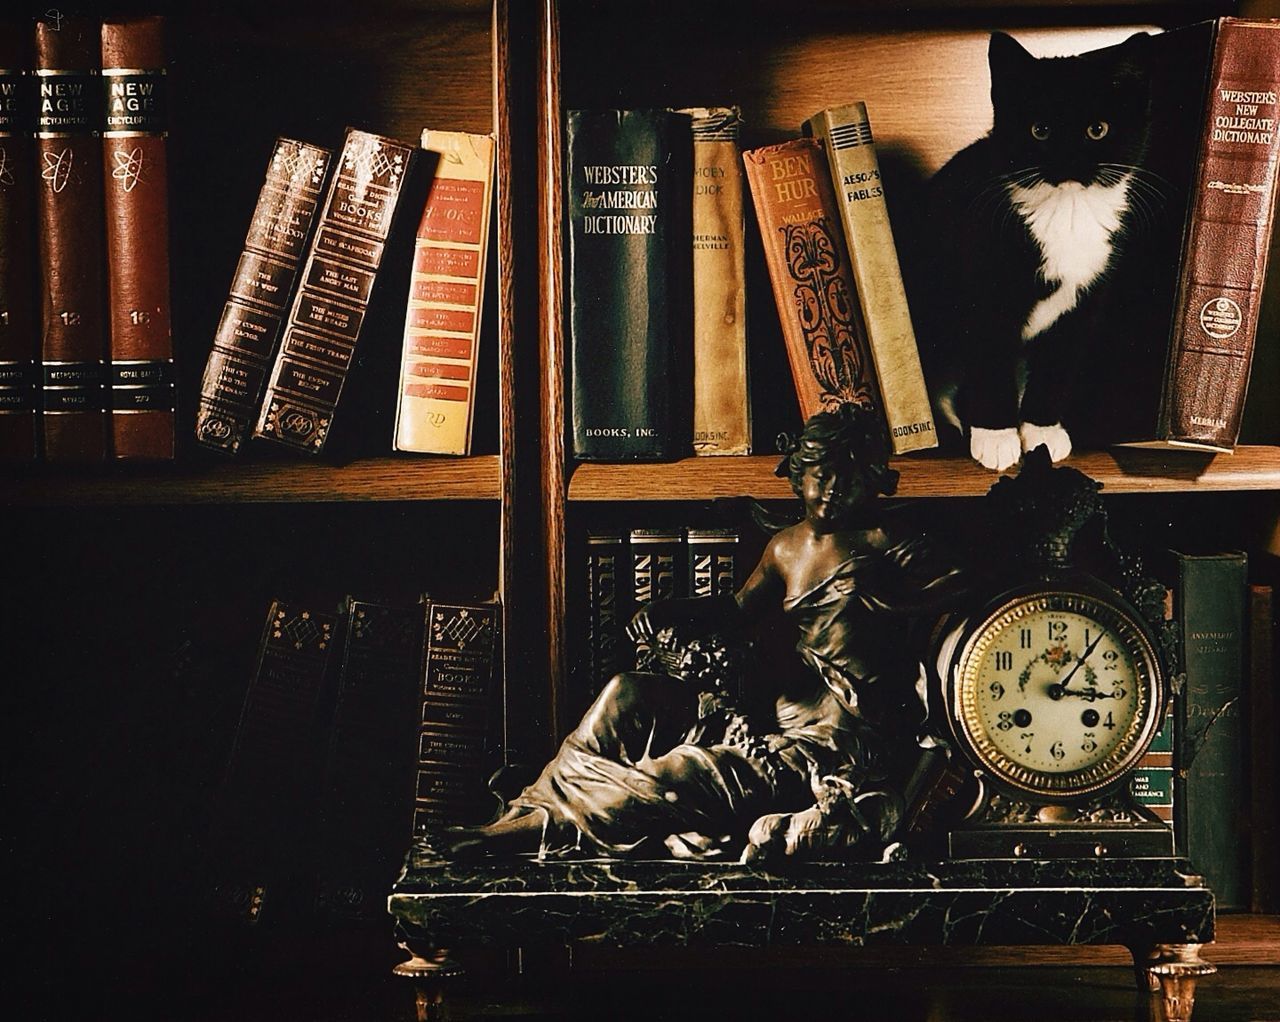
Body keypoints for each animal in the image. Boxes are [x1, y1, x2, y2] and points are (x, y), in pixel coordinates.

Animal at [921, 32, 1162, 471]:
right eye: (1040, 130)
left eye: (1097, 129)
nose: (1067, 161)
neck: (1065, 213)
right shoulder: (984, 290)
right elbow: (990, 357)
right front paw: (996, 436)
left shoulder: (1087, 299)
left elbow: (1057, 364)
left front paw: (1041, 432)